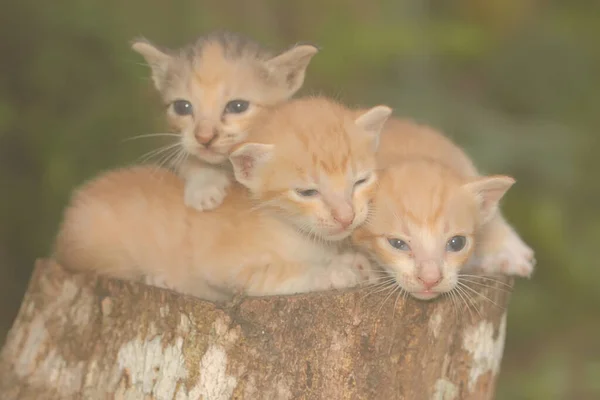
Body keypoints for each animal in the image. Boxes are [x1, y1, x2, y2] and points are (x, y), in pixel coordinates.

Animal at [52, 98, 394, 302]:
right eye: (307, 192)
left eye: (360, 181)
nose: (346, 216)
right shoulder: (225, 266)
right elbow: (280, 273)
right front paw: (334, 272)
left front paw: (353, 261)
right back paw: (161, 280)